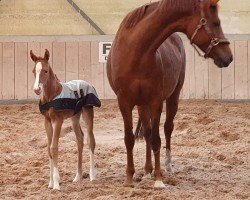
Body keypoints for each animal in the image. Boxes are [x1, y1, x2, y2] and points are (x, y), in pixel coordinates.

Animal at [29, 49, 99, 190]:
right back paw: (78, 176)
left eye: (45, 71)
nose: (37, 89)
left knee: (91, 141)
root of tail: (87, 83)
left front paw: (56, 183)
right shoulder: (47, 121)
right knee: (80, 140)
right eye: (34, 71)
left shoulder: (58, 121)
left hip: (88, 112)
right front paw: (50, 183)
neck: (52, 95)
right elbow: (48, 149)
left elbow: (54, 148)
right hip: (75, 117)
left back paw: (92, 175)